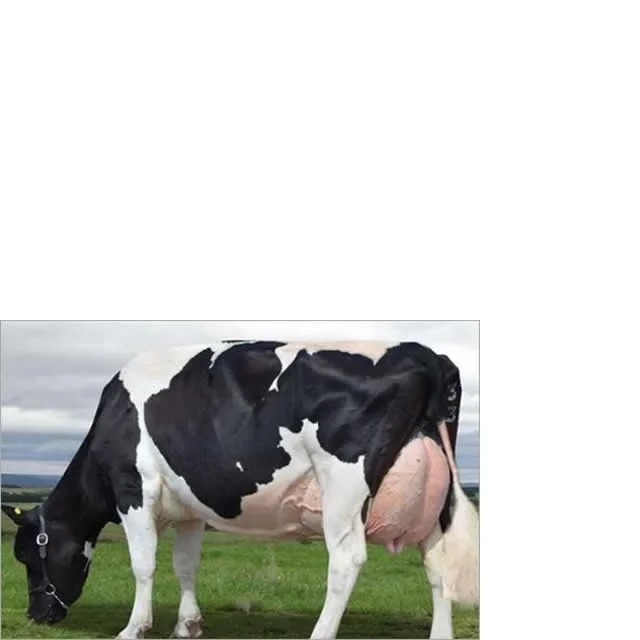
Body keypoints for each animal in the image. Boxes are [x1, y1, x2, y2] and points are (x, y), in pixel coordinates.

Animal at [2, 340, 479, 639]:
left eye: (26, 554)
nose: (36, 615)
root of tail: (425, 354)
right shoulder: (189, 507)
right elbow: (185, 565)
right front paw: (187, 625)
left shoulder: (133, 489)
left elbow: (144, 565)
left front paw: (134, 627)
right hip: (437, 498)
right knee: (437, 564)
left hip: (344, 485)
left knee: (346, 561)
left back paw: (320, 632)